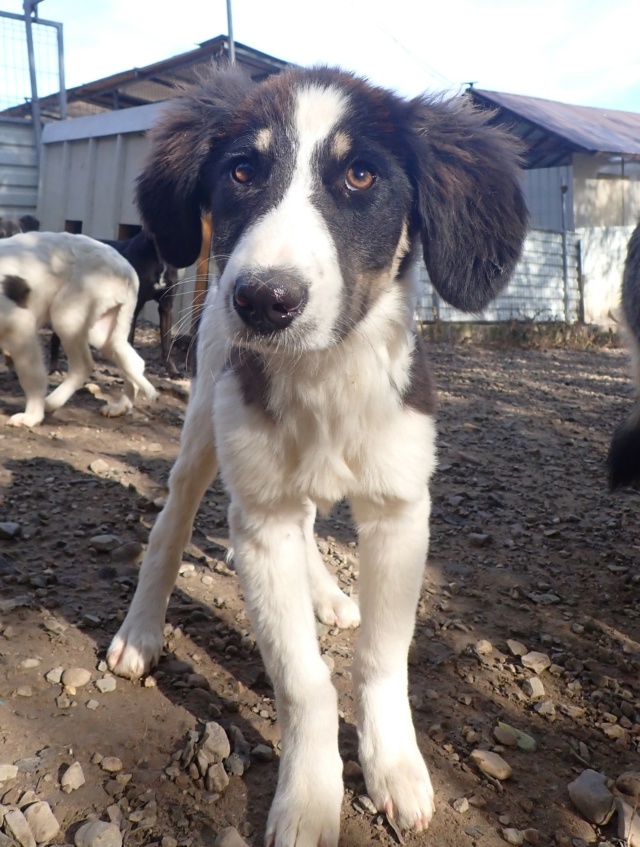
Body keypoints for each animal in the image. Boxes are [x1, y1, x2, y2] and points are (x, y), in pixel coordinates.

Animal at [0, 230, 158, 424]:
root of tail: (126, 269)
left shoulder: (20, 325)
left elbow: (31, 375)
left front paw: (32, 417)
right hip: (102, 332)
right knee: (132, 362)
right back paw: (120, 407)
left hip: (66, 316)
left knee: (83, 366)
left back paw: (50, 403)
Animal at [107, 68, 528, 847]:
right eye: (242, 171)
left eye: (361, 175)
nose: (263, 300)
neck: (324, 376)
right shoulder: (260, 518)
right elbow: (303, 680)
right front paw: (309, 797)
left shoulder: (400, 512)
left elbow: (383, 659)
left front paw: (394, 764)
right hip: (204, 433)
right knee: (171, 525)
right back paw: (140, 631)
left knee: (307, 526)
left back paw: (328, 595)